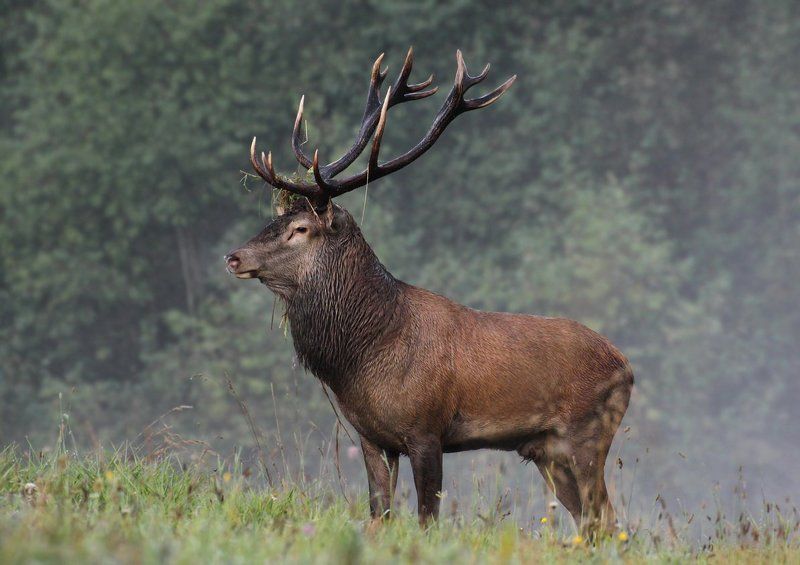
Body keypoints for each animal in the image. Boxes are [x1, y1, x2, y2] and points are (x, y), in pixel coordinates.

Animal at [225, 48, 634, 536]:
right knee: (591, 523)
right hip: (546, 451)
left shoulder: (427, 429)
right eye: (276, 220)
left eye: (300, 229)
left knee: (607, 519)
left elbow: (427, 519)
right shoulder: (370, 436)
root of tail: (627, 367)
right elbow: (379, 514)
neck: (365, 355)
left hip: (588, 434)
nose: (234, 257)